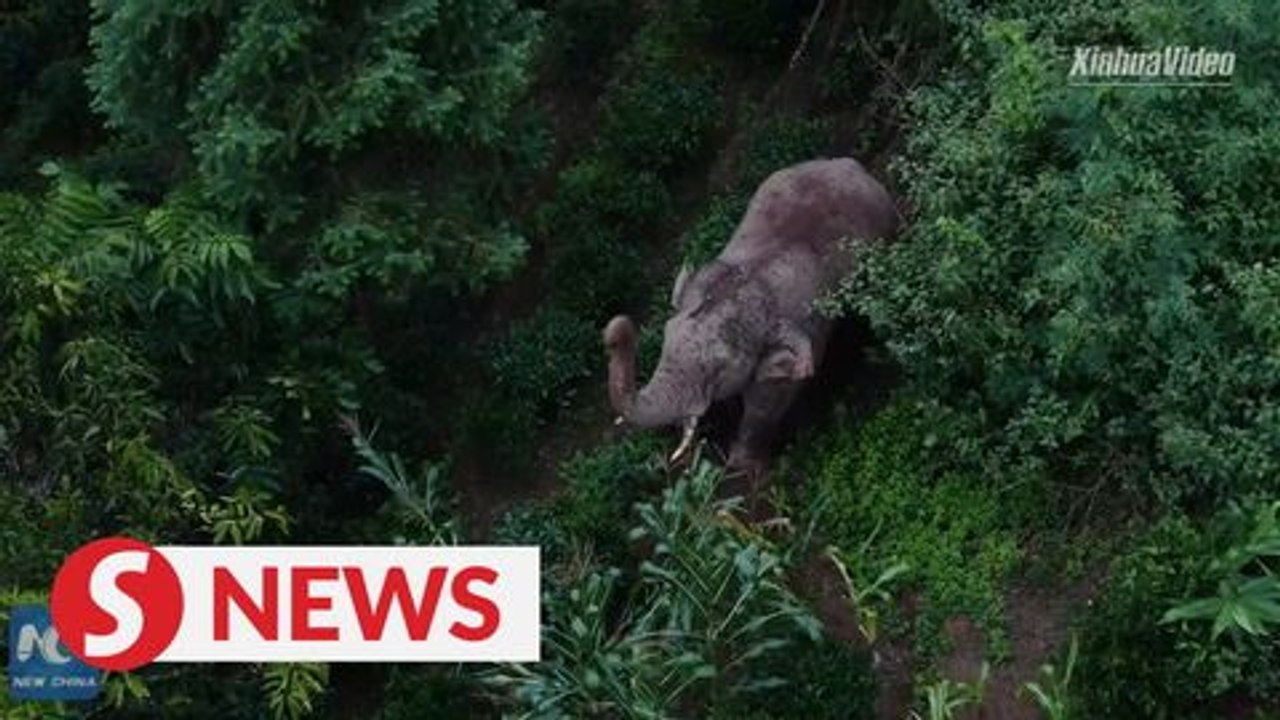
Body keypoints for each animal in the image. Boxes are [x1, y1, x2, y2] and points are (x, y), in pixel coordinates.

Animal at [603, 157, 897, 471]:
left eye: (719, 369)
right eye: (666, 339)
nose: (616, 330)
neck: (754, 280)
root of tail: (849, 164)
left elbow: (768, 403)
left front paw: (740, 466)